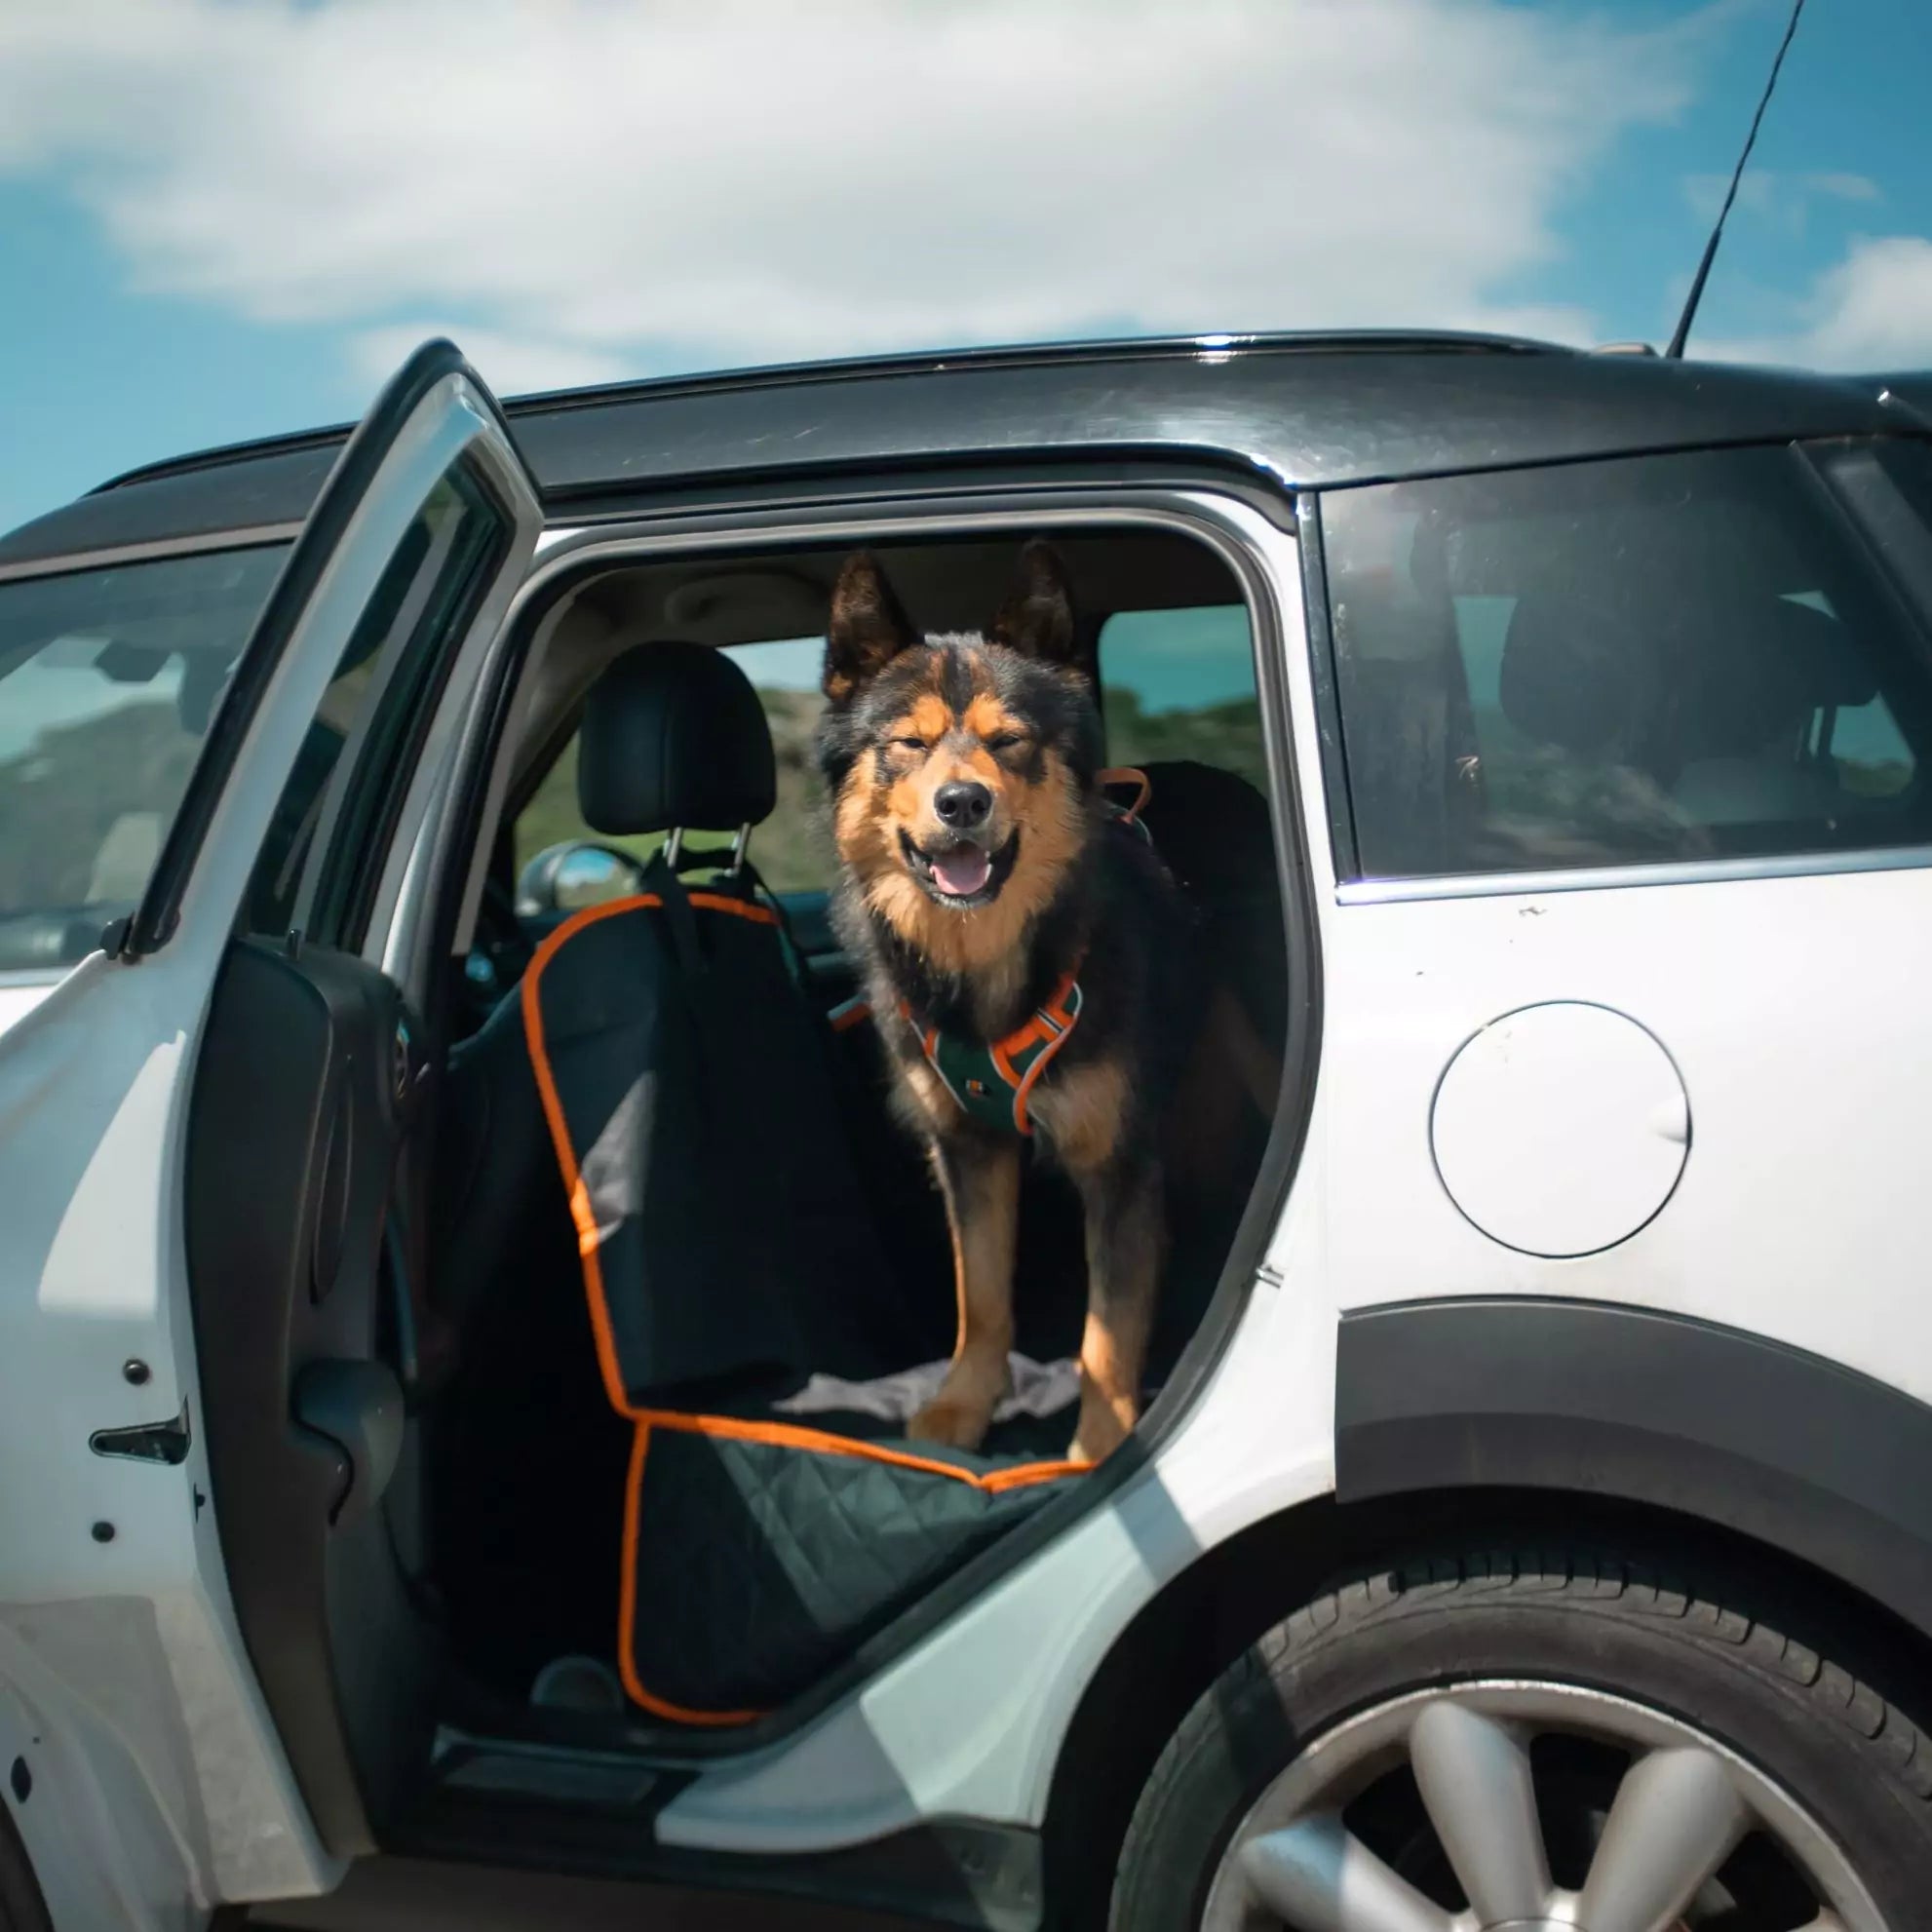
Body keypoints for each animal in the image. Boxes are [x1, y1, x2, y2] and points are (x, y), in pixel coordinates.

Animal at [815, 536, 1267, 1452]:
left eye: (1010, 741)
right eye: (907, 743)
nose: (963, 802)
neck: (989, 958)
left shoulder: (1118, 1161)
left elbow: (1106, 1333)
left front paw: (1099, 1447)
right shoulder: (967, 1149)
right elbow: (982, 1294)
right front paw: (964, 1406)